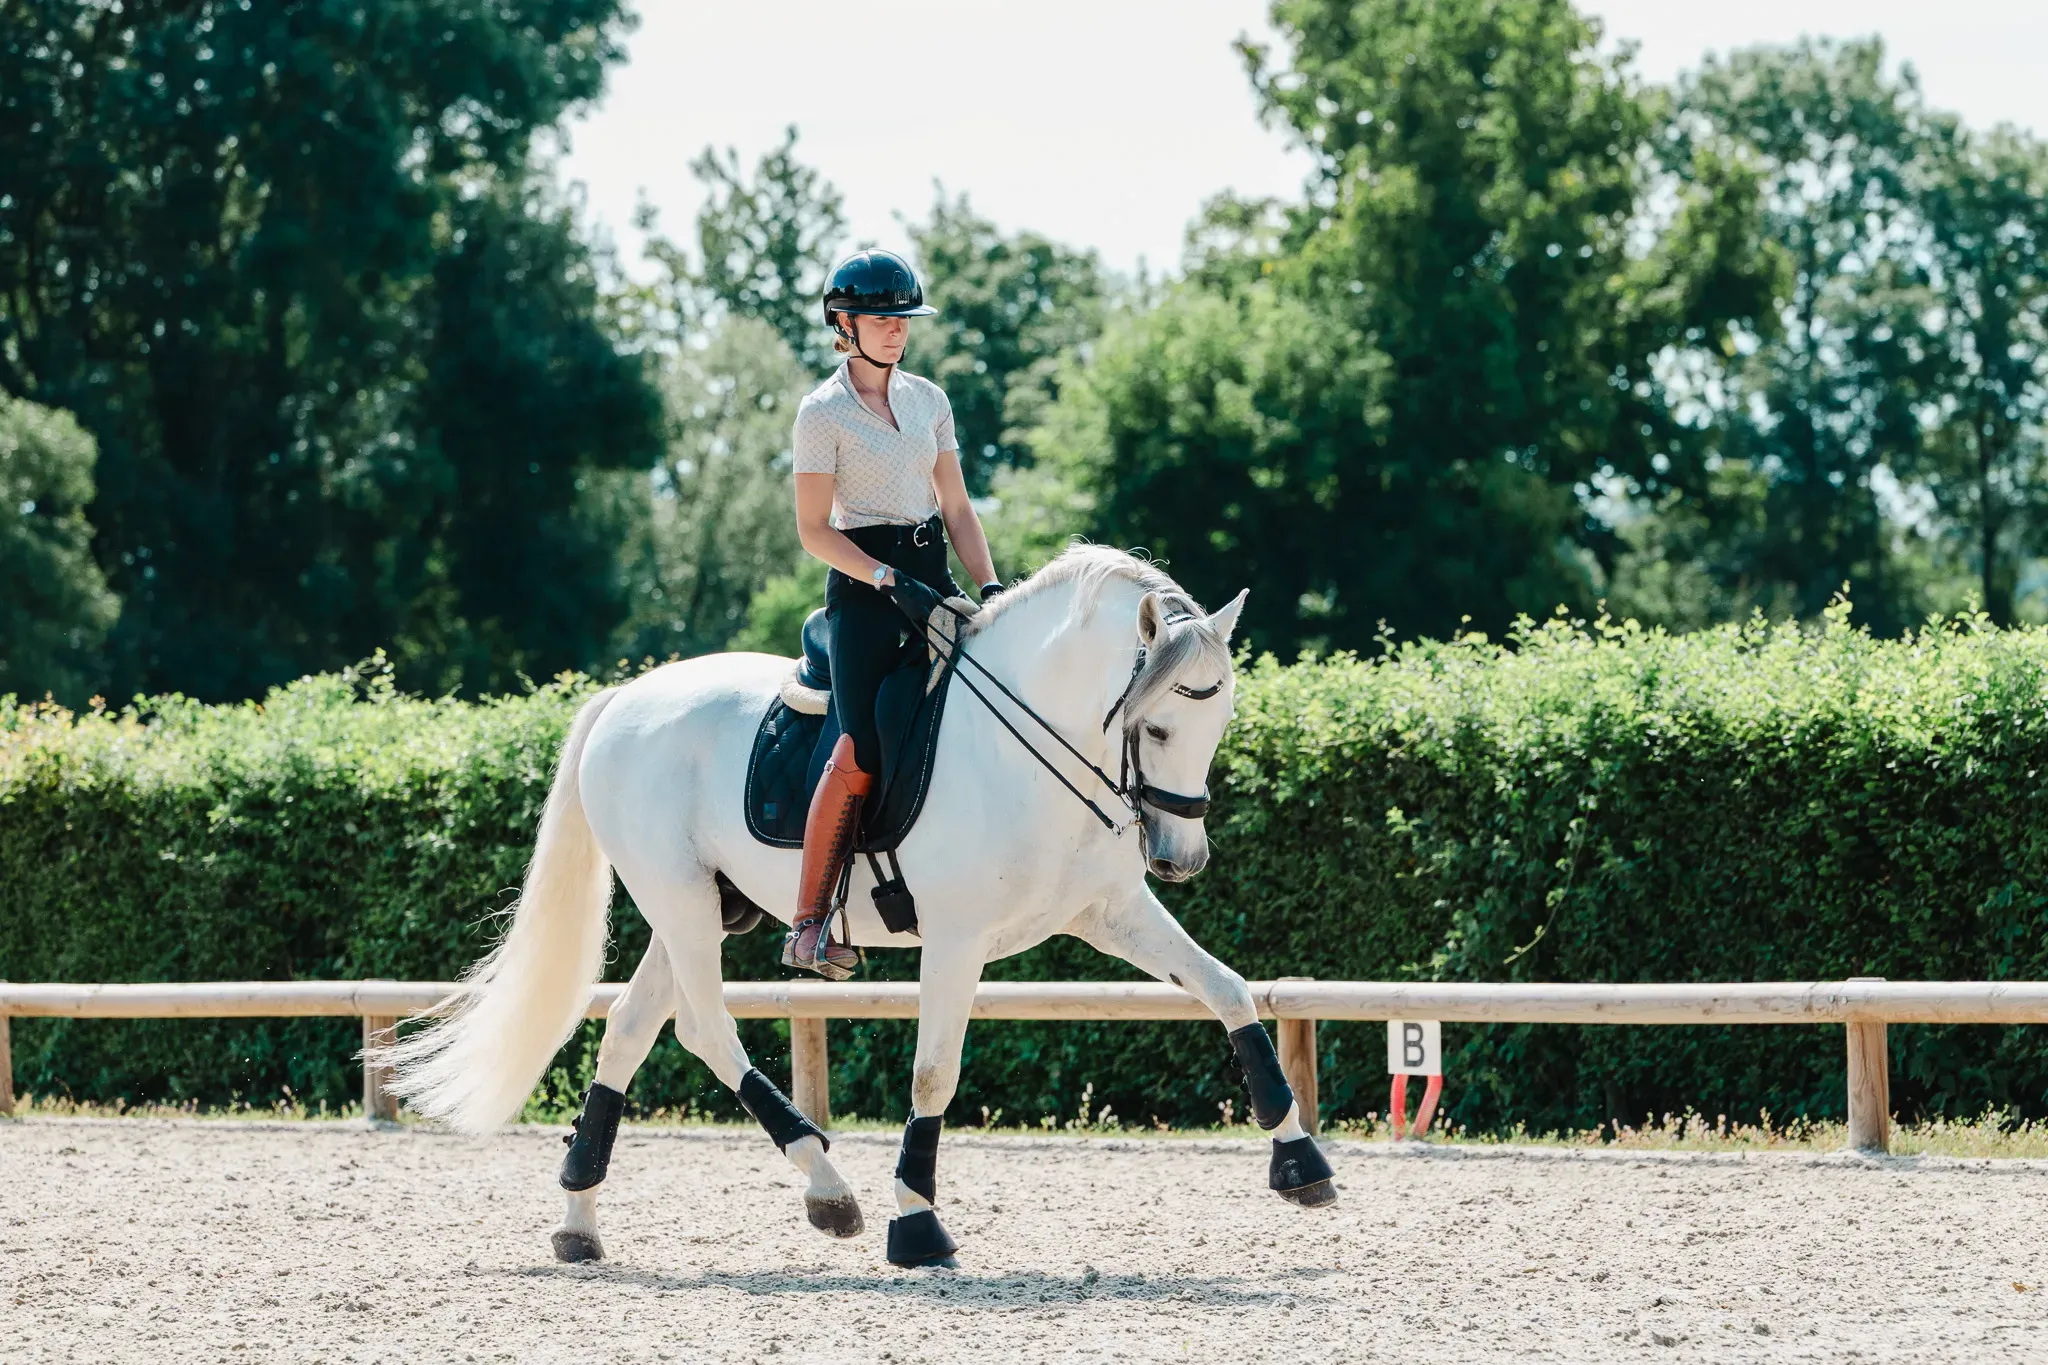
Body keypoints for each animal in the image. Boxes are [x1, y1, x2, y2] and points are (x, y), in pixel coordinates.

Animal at [384, 543, 1337, 1267]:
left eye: (1221, 725)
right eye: (1161, 725)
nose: (1180, 858)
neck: (1029, 744)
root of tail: (627, 696)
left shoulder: (1110, 912)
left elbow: (1227, 989)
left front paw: (1299, 1158)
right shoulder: (955, 939)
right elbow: (934, 1072)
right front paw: (916, 1224)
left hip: (701, 907)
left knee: (633, 1028)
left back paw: (580, 1220)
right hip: (680, 901)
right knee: (706, 1028)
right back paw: (828, 1188)